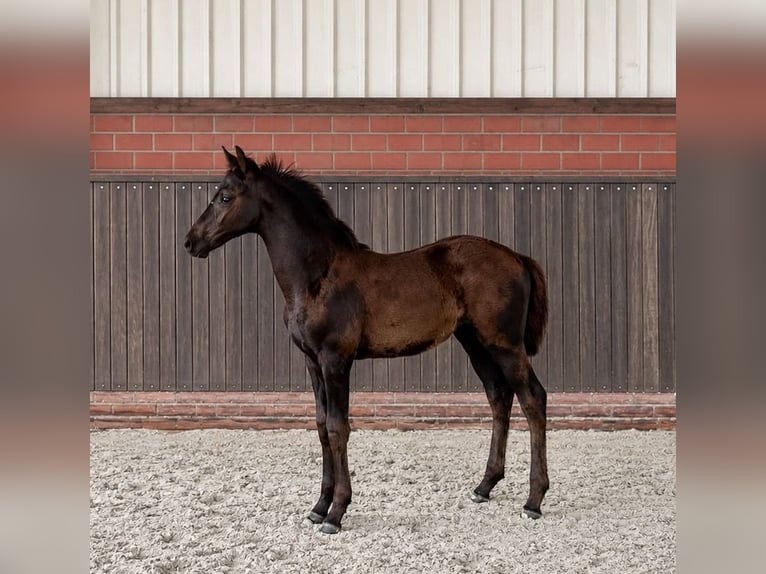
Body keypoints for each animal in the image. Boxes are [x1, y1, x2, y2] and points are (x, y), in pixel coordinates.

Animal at [185, 146, 550, 534]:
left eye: (225, 196)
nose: (191, 241)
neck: (317, 275)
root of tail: (517, 257)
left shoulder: (335, 359)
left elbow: (337, 427)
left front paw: (336, 512)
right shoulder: (312, 361)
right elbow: (320, 425)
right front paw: (319, 506)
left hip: (505, 343)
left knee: (532, 398)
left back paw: (534, 500)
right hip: (474, 341)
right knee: (499, 396)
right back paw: (484, 486)